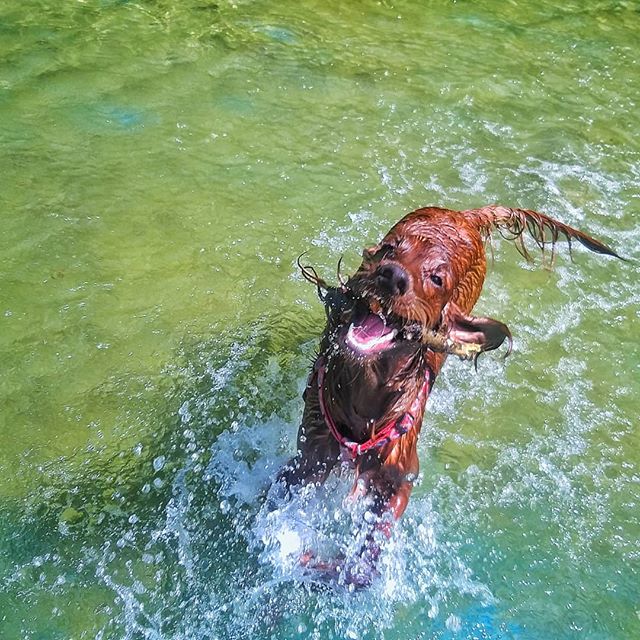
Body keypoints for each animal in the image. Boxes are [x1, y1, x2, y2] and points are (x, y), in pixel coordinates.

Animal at [276, 204, 620, 584]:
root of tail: (463, 216)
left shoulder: (401, 473)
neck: (364, 395)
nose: (390, 276)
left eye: (437, 279)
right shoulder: (310, 454)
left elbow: (374, 541)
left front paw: (342, 568)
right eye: (390, 249)